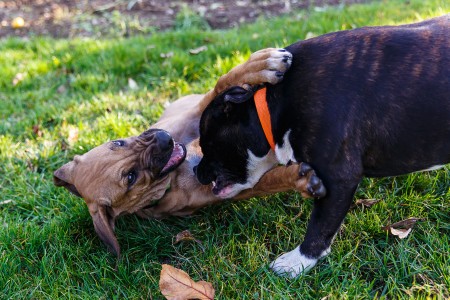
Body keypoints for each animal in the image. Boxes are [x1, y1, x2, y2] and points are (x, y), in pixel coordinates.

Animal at [54, 48, 326, 255]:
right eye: (131, 177)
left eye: (118, 142)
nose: (164, 138)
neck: (174, 175)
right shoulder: (223, 188)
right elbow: (268, 180)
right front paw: (300, 179)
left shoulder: (195, 116)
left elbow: (221, 84)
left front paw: (261, 63)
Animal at [196, 15, 450, 278]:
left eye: (205, 143)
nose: (195, 170)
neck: (271, 108)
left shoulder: (339, 178)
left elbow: (320, 226)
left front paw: (298, 261)